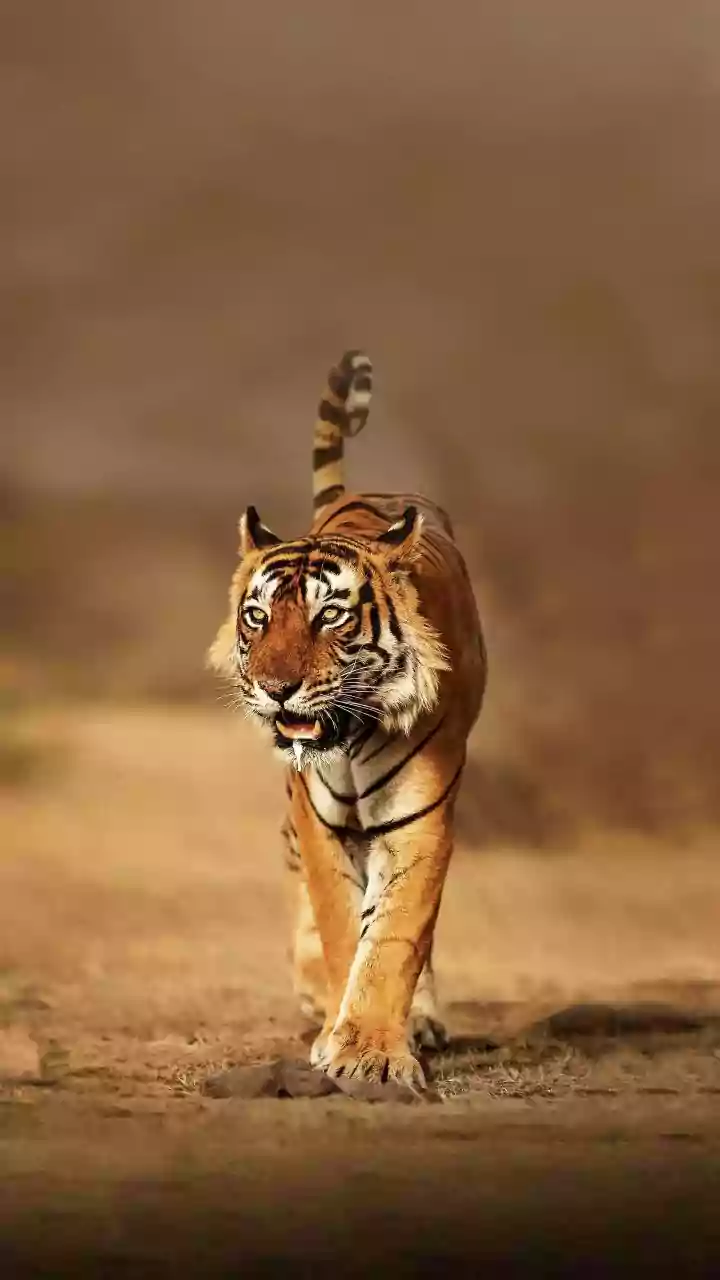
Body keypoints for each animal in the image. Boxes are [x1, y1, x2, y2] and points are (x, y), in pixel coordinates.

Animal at [209, 350, 487, 1091]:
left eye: (329, 616)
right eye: (258, 617)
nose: (277, 688)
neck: (352, 735)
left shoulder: (419, 819)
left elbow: (394, 935)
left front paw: (370, 1051)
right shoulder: (319, 818)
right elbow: (340, 924)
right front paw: (341, 1028)